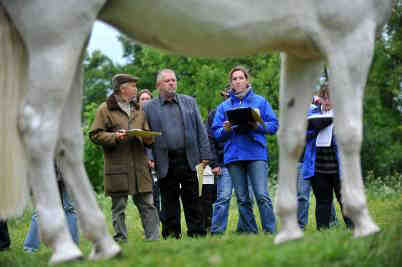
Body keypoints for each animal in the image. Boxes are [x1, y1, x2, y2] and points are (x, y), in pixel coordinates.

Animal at [0, 0, 392, 266]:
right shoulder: (348, 35)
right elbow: (350, 132)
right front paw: (363, 223)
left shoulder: (302, 50)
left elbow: (293, 136)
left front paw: (289, 230)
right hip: (57, 32)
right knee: (38, 127)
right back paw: (65, 247)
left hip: (74, 39)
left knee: (67, 139)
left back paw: (104, 244)